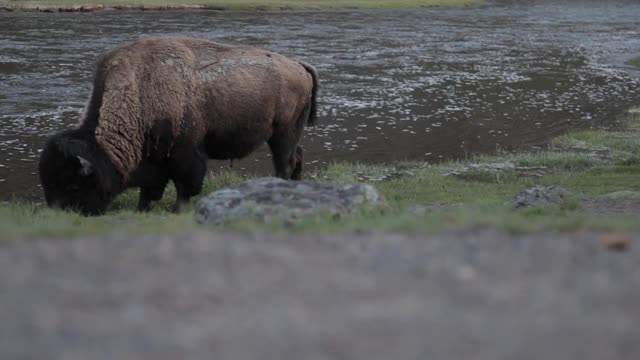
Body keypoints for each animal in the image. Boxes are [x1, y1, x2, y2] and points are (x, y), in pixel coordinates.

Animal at [38, 37, 318, 215]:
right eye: (47, 184)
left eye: (74, 185)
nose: (58, 215)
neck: (138, 91)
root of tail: (299, 65)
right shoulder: (154, 160)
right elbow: (151, 188)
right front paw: (142, 208)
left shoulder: (184, 153)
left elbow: (184, 184)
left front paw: (178, 209)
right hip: (290, 133)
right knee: (297, 156)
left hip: (283, 134)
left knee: (284, 162)